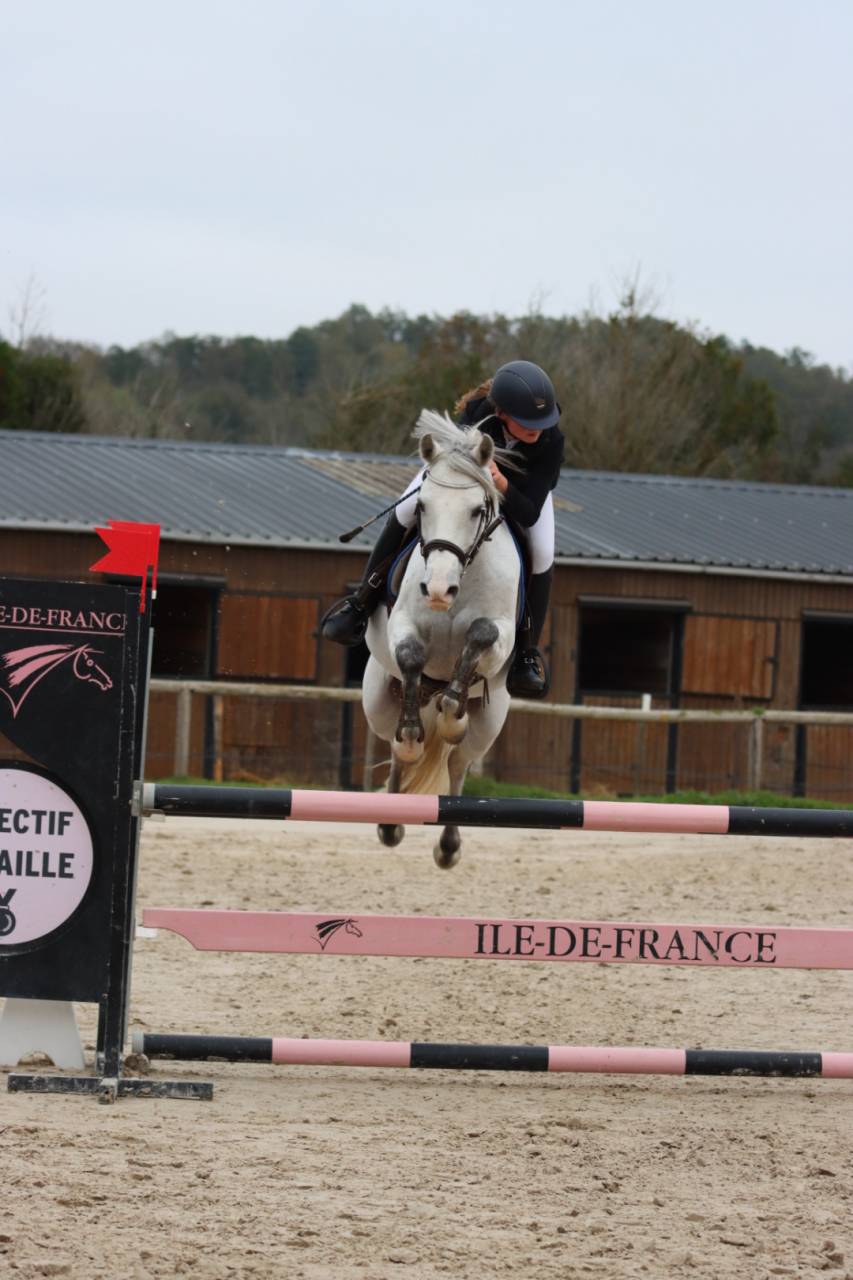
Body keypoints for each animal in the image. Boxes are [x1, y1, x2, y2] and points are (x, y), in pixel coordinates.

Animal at [362, 409, 521, 868]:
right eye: (422, 507)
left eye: (476, 510)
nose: (436, 590)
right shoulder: (401, 627)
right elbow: (411, 655)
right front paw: (414, 736)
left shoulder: (501, 638)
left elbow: (480, 637)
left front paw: (452, 711)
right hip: (378, 702)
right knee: (396, 748)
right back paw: (391, 819)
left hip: (488, 722)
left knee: (458, 766)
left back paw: (448, 844)